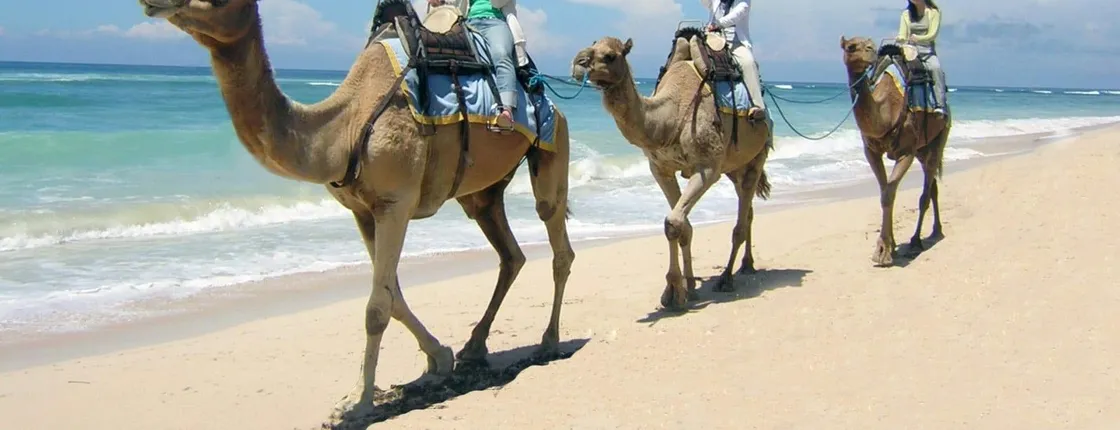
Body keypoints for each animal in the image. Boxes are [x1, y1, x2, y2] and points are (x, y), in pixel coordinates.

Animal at [135, 0, 575, 423]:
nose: (153, 2)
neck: (344, 127)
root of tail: (552, 99)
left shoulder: (395, 203)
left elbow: (377, 306)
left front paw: (357, 402)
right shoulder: (363, 212)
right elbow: (393, 295)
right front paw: (438, 359)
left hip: (554, 144)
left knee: (557, 240)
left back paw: (548, 341)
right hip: (482, 194)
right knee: (509, 253)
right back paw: (474, 347)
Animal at [570, 31, 772, 310]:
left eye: (610, 55)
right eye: (591, 45)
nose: (577, 63)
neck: (670, 117)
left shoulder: (708, 168)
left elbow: (673, 223)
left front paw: (674, 291)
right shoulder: (661, 170)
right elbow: (683, 226)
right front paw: (687, 287)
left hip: (757, 155)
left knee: (741, 221)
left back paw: (726, 278)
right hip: (735, 167)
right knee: (748, 209)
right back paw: (747, 265)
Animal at [840, 36, 952, 266]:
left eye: (869, 44)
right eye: (851, 47)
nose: (872, 50)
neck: (887, 112)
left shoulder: (906, 152)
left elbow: (890, 194)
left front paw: (883, 251)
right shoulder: (871, 152)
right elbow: (885, 193)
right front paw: (889, 245)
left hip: (940, 136)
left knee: (926, 191)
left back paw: (916, 241)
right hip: (923, 149)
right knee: (933, 186)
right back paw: (935, 231)